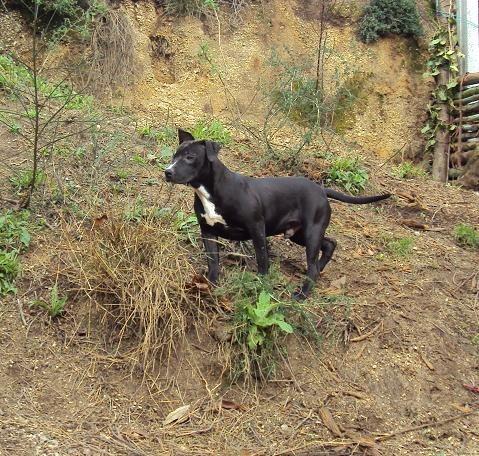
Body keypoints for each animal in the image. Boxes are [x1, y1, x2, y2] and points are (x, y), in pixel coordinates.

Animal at [165, 129, 390, 300]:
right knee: (329, 244)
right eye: (174, 156)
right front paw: (209, 285)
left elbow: (262, 258)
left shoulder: (257, 229)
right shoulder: (208, 231)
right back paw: (320, 268)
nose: (167, 171)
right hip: (299, 234)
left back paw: (302, 293)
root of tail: (321, 189)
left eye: (190, 157)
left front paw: (261, 284)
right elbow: (213, 262)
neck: (210, 189)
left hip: (311, 232)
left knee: (314, 263)